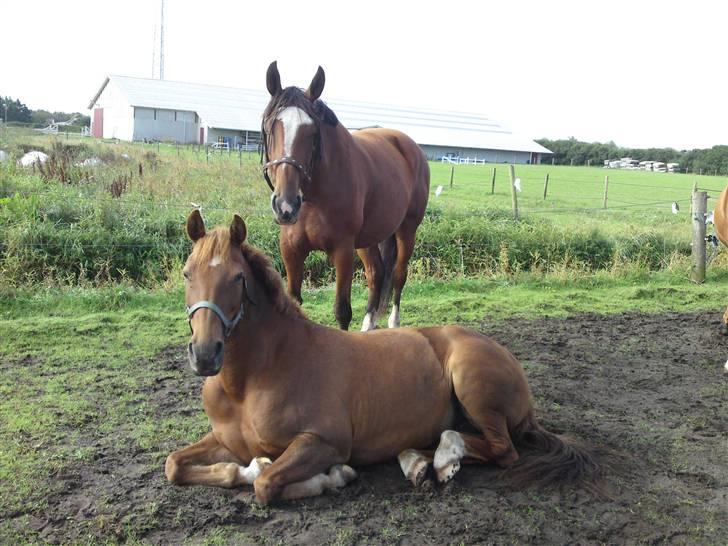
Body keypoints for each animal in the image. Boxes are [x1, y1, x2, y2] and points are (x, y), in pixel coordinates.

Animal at [166, 210, 604, 504]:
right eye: (187, 273)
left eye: (238, 278)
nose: (204, 355)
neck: (251, 379)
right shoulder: (224, 440)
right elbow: (176, 465)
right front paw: (250, 465)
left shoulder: (324, 441)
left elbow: (266, 483)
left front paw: (333, 478)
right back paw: (421, 463)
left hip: (472, 383)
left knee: (501, 449)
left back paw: (443, 459)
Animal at [262, 61, 430, 330]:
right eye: (271, 129)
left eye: (313, 133)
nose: (286, 206)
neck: (315, 198)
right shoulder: (291, 251)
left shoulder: (342, 251)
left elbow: (342, 311)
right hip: (370, 237)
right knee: (376, 274)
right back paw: (369, 325)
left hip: (407, 230)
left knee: (399, 275)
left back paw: (393, 322)